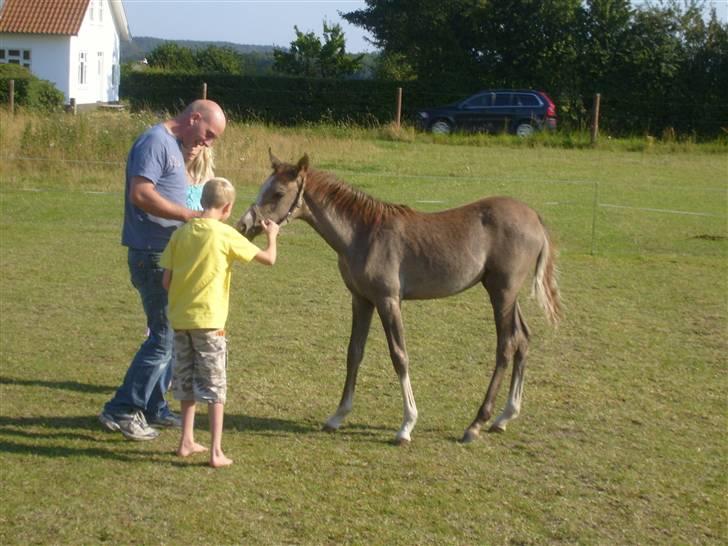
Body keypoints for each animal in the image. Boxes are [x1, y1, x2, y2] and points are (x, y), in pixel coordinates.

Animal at [236, 150, 560, 442]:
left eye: (278, 193)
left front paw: (407, 425)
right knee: (522, 338)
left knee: (506, 345)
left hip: (502, 293)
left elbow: (399, 356)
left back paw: (476, 424)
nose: (244, 225)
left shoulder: (388, 301)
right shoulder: (361, 300)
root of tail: (535, 217)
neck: (364, 234)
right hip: (503, 292)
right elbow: (354, 353)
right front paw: (337, 416)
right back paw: (504, 417)